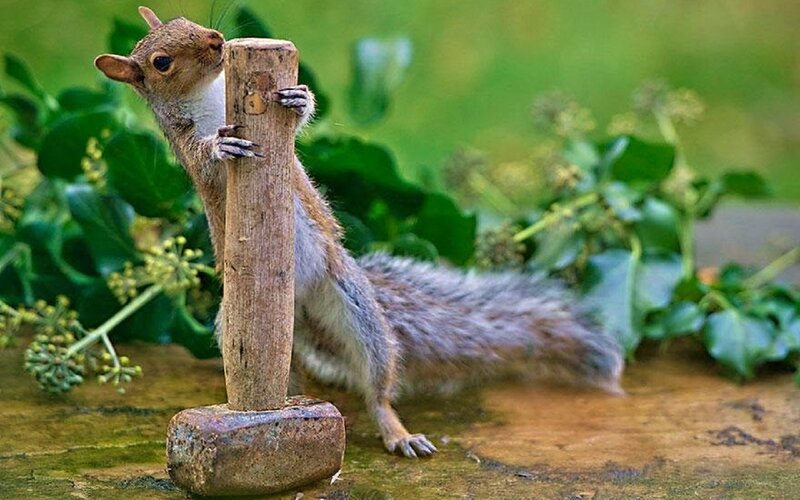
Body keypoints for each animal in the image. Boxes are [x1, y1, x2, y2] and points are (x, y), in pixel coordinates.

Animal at [95, 6, 624, 458]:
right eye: (161, 62)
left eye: (186, 21)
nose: (216, 40)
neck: (210, 99)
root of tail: (300, 306)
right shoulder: (188, 152)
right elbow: (206, 160)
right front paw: (223, 147)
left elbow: (295, 128)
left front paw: (299, 98)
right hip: (238, 329)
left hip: (355, 308)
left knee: (377, 390)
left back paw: (395, 430)